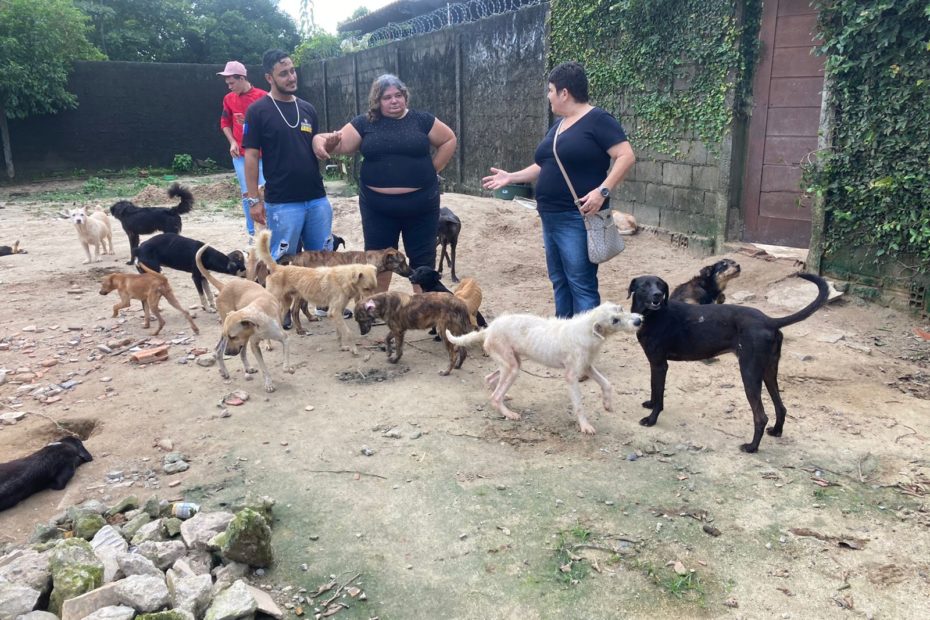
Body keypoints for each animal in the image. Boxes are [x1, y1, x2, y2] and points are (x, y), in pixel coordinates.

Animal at [198, 243, 292, 392]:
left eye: (233, 336)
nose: (228, 353)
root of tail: (224, 286)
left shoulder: (284, 338)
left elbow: (285, 361)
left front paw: (287, 368)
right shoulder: (254, 345)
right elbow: (264, 367)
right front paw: (269, 383)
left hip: (242, 340)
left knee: (239, 353)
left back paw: (245, 367)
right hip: (233, 334)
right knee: (218, 350)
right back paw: (225, 371)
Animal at [446, 302, 640, 434]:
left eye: (621, 308)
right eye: (615, 320)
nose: (639, 321)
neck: (587, 331)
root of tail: (489, 329)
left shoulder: (587, 367)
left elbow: (607, 384)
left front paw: (607, 404)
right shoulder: (571, 376)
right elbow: (579, 405)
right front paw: (585, 426)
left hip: (512, 363)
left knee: (490, 379)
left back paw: (504, 397)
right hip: (512, 367)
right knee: (494, 397)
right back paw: (508, 412)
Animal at [628, 274, 832, 452]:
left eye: (661, 286)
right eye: (644, 285)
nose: (658, 295)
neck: (654, 314)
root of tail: (770, 321)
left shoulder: (660, 365)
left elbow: (659, 396)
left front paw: (651, 419)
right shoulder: (654, 363)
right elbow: (654, 388)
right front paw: (650, 403)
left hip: (749, 373)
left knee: (761, 416)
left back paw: (752, 447)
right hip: (768, 371)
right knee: (781, 407)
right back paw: (776, 431)